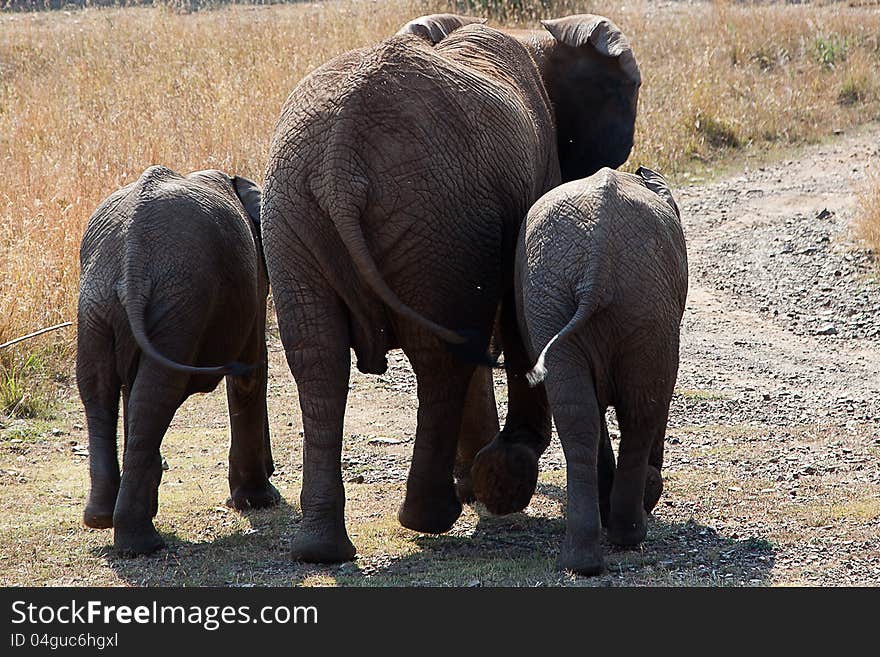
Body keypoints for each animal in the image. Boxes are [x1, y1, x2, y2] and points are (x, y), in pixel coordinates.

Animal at [79, 165, 280, 552]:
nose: (273, 468)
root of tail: (132, 253)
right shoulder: (254, 282)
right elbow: (251, 372)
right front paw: (260, 501)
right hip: (177, 298)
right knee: (154, 392)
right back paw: (141, 543)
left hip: (102, 302)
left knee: (104, 390)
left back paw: (102, 520)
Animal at [262, 12, 640, 560]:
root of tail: (340, 156)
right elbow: (517, 308)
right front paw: (501, 479)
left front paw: (486, 479)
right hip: (437, 216)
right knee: (443, 355)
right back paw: (431, 517)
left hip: (297, 213)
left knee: (318, 358)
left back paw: (321, 549)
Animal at [520, 165, 692, 576]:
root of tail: (597, 258)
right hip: (643, 302)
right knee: (642, 409)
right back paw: (629, 531)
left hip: (563, 299)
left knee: (579, 415)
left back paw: (584, 560)